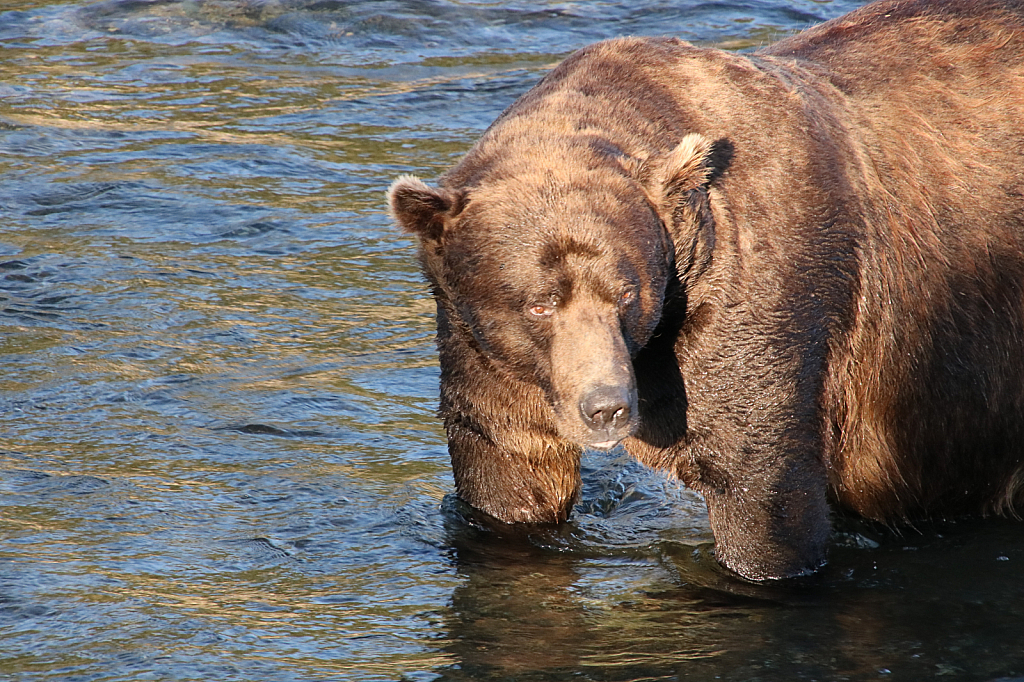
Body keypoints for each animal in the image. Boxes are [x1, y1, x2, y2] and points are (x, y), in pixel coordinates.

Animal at [387, 0, 1024, 577]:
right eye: (541, 303)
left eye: (625, 294)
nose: (607, 407)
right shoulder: (485, 353)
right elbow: (507, 477)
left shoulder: (760, 302)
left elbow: (763, 492)